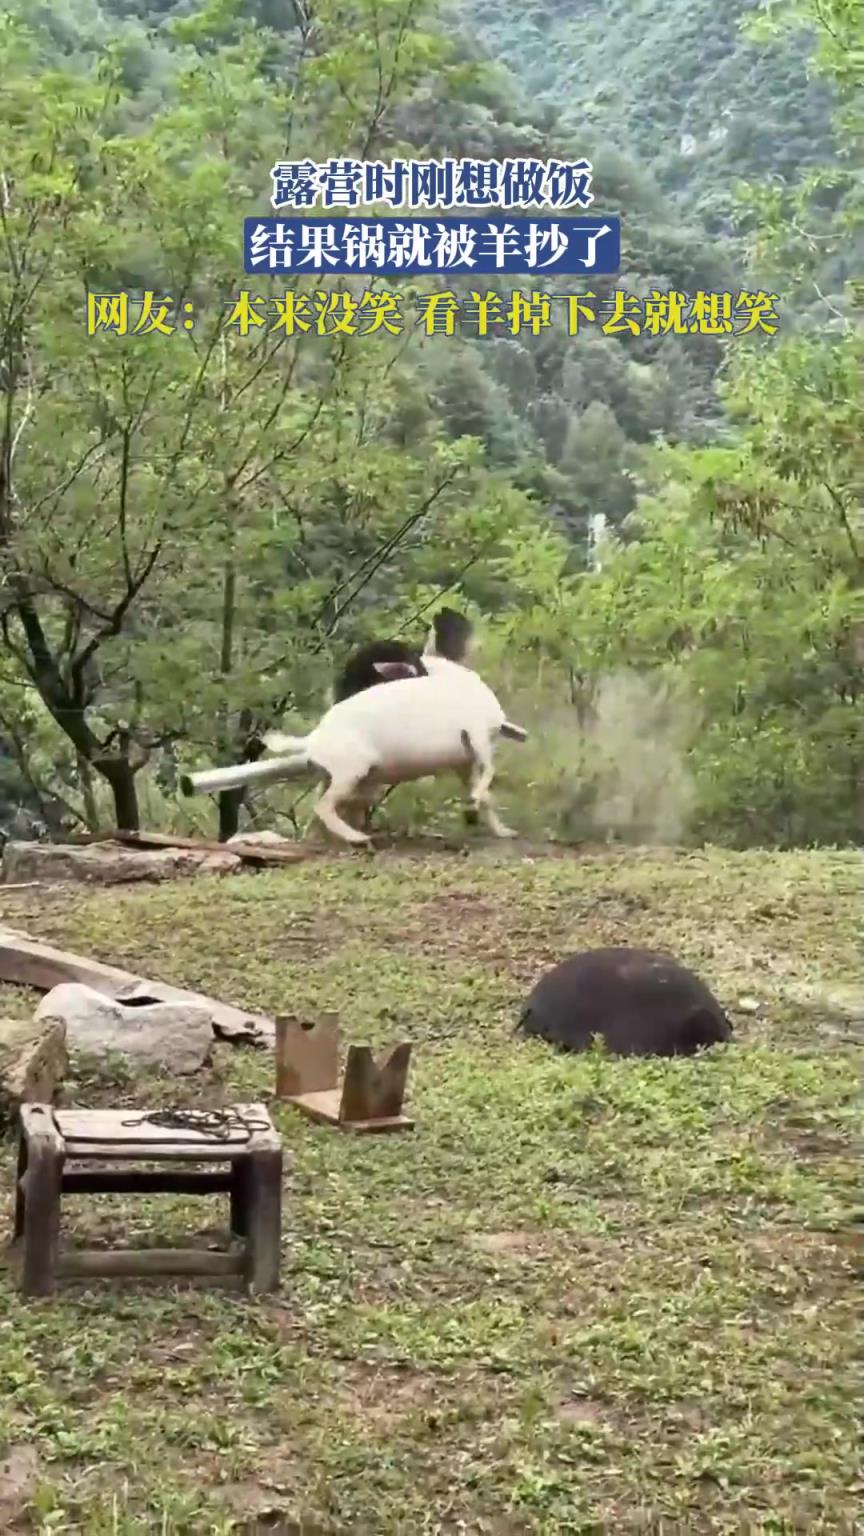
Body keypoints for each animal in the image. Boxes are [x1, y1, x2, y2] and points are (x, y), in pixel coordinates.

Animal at [180, 645, 525, 846]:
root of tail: (313, 740)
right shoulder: (477, 735)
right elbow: (489, 772)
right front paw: (476, 803)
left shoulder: (463, 759)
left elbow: (486, 791)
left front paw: (500, 828)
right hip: (351, 769)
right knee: (324, 805)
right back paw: (357, 838)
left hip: (344, 774)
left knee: (331, 803)